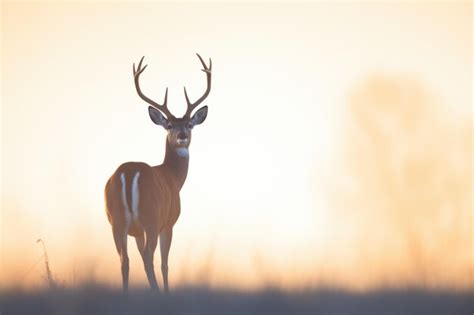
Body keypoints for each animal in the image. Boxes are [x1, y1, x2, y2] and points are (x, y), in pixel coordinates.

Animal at [105, 53, 213, 294]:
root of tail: (129, 172)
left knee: (124, 260)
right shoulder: (169, 222)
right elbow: (165, 264)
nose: (182, 135)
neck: (173, 177)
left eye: (190, 124)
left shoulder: (137, 231)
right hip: (151, 216)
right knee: (148, 258)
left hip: (117, 220)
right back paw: (155, 292)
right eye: (169, 125)